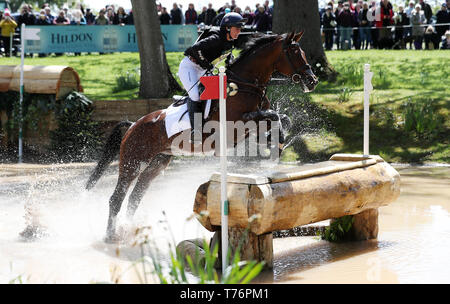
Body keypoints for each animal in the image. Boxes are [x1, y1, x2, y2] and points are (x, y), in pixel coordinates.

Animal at [86, 29, 318, 241]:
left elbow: (281, 119)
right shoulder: (237, 125)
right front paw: (275, 147)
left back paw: (129, 229)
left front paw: (277, 144)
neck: (244, 86)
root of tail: (133, 125)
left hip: (157, 163)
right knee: (117, 197)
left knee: (135, 196)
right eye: (295, 53)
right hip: (132, 162)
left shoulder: (250, 126)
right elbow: (272, 115)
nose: (313, 80)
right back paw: (110, 235)